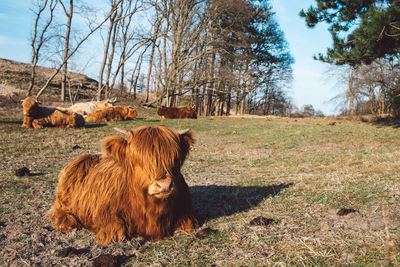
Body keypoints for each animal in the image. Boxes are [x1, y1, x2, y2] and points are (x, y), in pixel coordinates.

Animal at [47, 125, 198, 245]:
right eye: (138, 159)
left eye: (176, 158)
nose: (164, 185)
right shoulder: (104, 214)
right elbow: (116, 231)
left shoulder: (187, 213)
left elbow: (188, 223)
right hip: (63, 199)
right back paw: (66, 220)